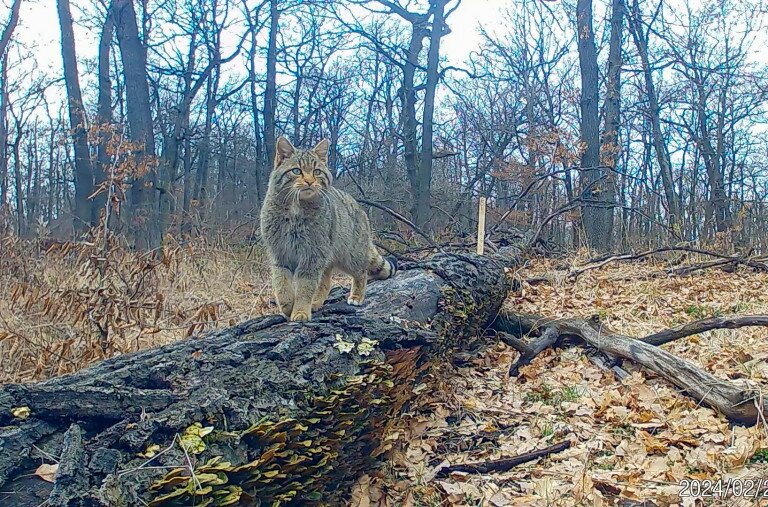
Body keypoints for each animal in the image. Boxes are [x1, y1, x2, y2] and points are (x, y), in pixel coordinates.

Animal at [260, 137, 400, 324]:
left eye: (317, 171)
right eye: (297, 171)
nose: (309, 181)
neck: (295, 211)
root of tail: (359, 208)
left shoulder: (311, 257)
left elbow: (305, 288)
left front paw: (300, 310)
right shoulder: (280, 254)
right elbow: (282, 285)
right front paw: (288, 306)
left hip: (350, 256)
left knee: (361, 273)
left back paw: (356, 295)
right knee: (326, 282)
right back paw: (316, 302)